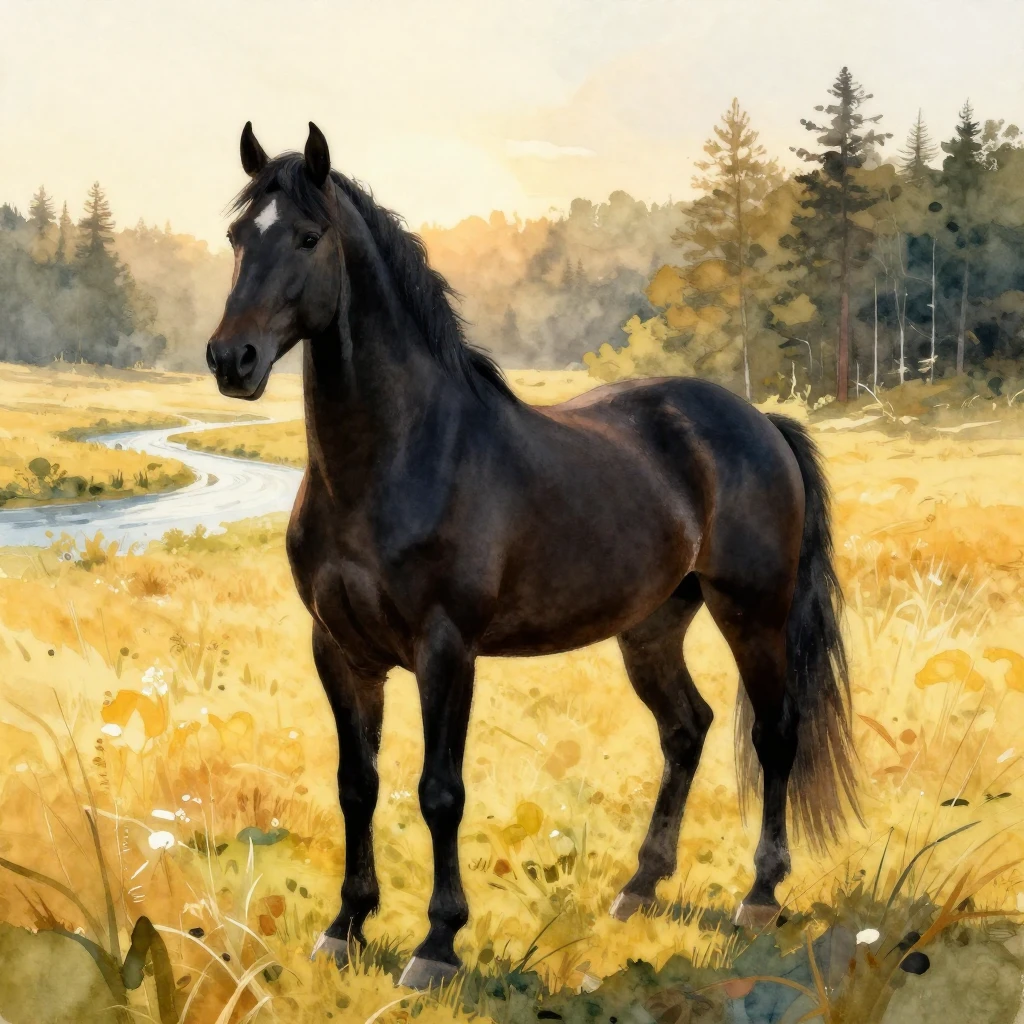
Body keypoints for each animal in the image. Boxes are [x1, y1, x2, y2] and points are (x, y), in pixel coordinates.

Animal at [206, 121, 859, 991]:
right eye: (238, 237)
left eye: (309, 237)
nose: (231, 360)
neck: (399, 459)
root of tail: (760, 421)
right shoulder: (339, 650)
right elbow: (357, 785)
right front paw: (345, 928)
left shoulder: (447, 650)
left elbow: (439, 791)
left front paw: (436, 945)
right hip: (653, 626)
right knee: (686, 728)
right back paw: (639, 887)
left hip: (752, 612)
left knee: (775, 734)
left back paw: (759, 896)